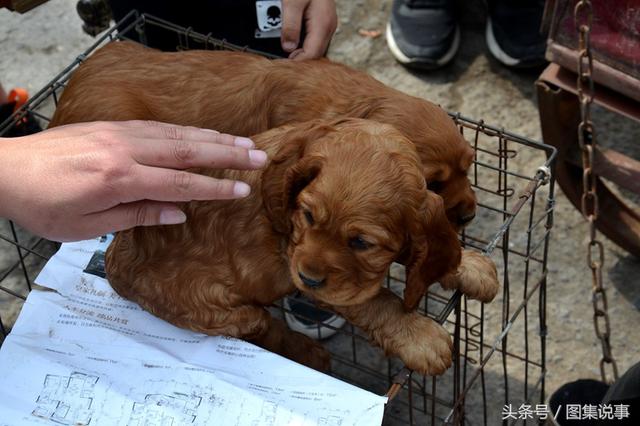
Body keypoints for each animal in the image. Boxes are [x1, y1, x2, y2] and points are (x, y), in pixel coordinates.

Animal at [106, 118, 464, 374]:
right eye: (307, 215)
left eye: (362, 243)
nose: (309, 279)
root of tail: (113, 259)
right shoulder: (292, 259)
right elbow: (373, 300)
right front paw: (419, 336)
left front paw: (470, 267)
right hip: (214, 310)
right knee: (265, 327)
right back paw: (310, 354)